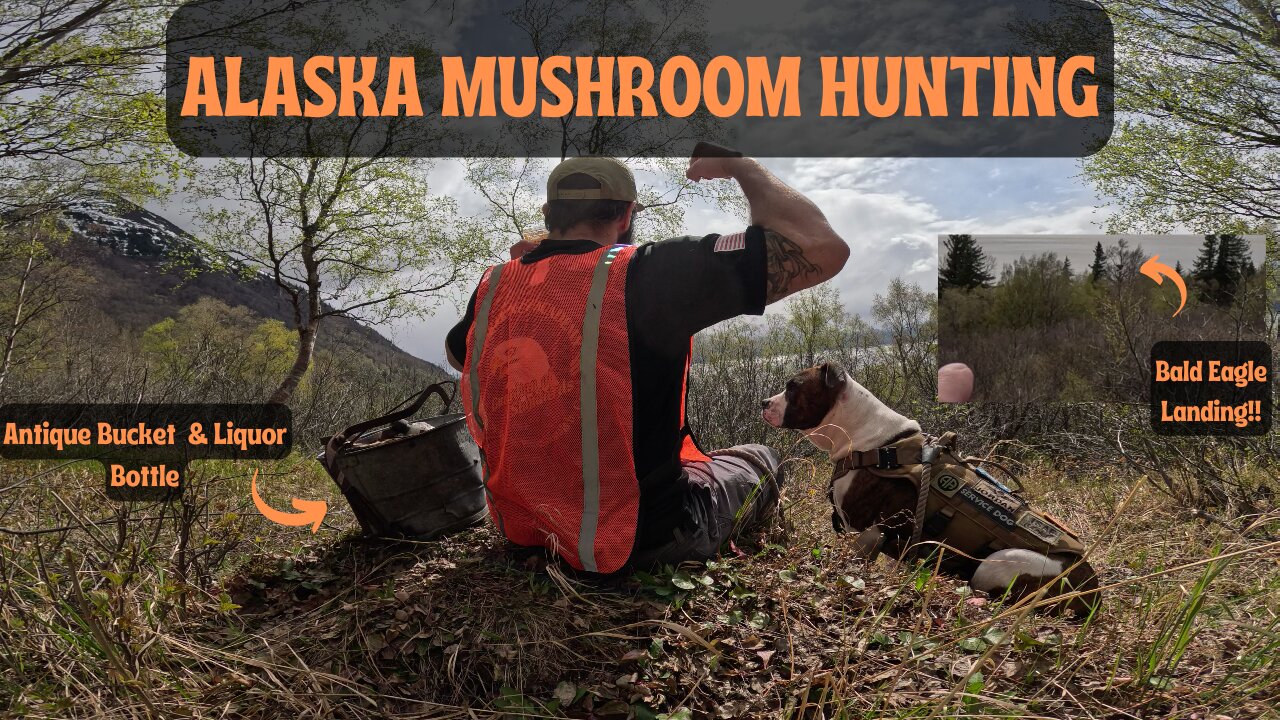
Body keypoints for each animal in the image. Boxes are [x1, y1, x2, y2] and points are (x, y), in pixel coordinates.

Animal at [762, 358, 1095, 604]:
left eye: (792, 387)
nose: (765, 402)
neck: (873, 443)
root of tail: (1092, 590)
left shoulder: (864, 532)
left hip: (999, 563)